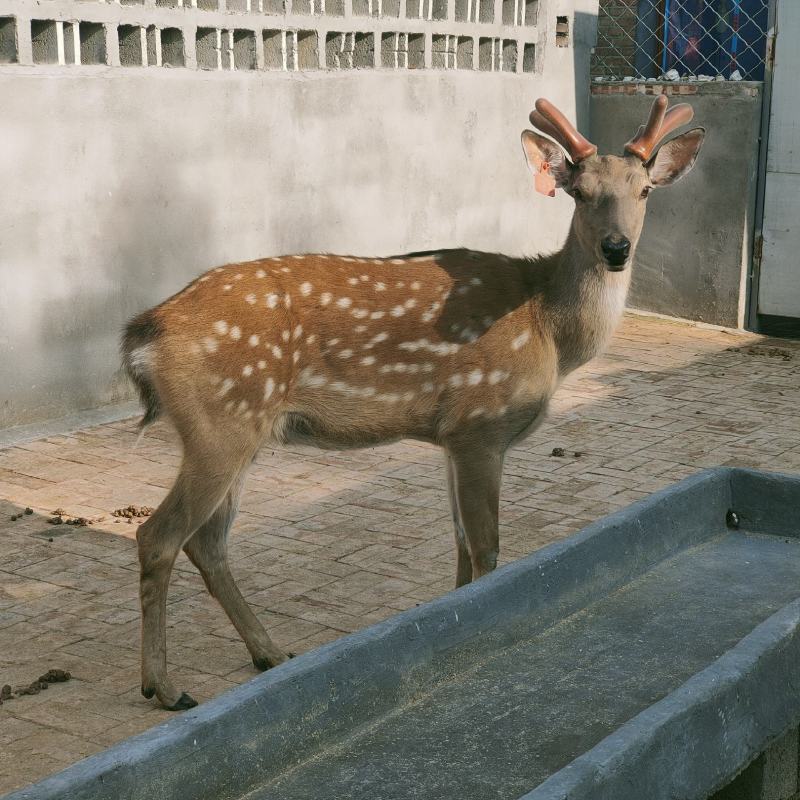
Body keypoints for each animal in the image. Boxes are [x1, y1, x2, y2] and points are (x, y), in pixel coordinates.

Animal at [122, 95, 705, 710]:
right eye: (581, 191)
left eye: (645, 190)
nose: (617, 249)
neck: (549, 327)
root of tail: (145, 333)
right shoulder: (481, 423)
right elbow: (487, 547)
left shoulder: (451, 436)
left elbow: (461, 545)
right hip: (218, 423)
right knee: (159, 536)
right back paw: (165, 686)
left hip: (242, 430)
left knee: (208, 543)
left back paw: (270, 654)